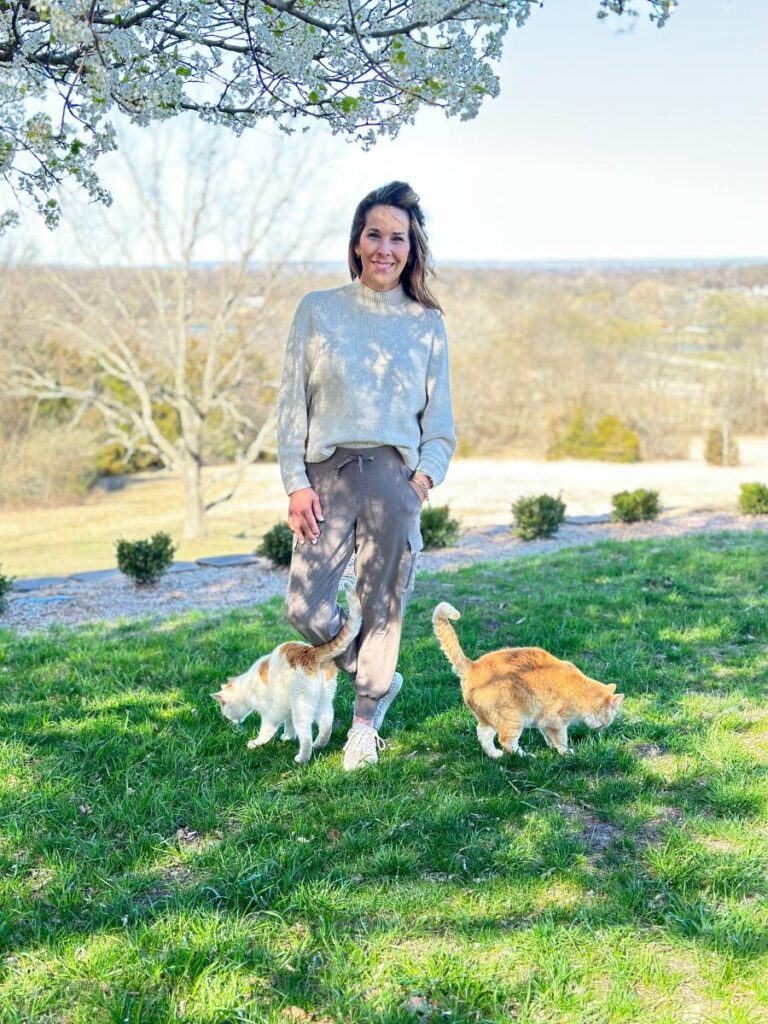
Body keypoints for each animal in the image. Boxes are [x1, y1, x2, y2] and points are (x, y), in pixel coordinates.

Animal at [211, 585, 362, 761]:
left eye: (224, 710)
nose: (231, 722)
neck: (246, 687)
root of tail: (311, 652)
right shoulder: (286, 708)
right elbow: (288, 725)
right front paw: (288, 737)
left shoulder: (271, 715)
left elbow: (266, 732)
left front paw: (255, 743)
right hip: (323, 701)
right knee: (326, 724)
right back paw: (319, 745)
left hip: (301, 707)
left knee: (306, 736)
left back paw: (302, 759)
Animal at [434, 598, 626, 761]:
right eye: (609, 718)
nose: (604, 728)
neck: (582, 692)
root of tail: (472, 666)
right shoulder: (556, 722)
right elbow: (561, 740)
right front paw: (566, 753)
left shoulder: (544, 722)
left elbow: (548, 737)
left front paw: (552, 747)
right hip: (513, 720)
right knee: (507, 742)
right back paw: (526, 756)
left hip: (488, 721)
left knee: (483, 736)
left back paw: (495, 755)